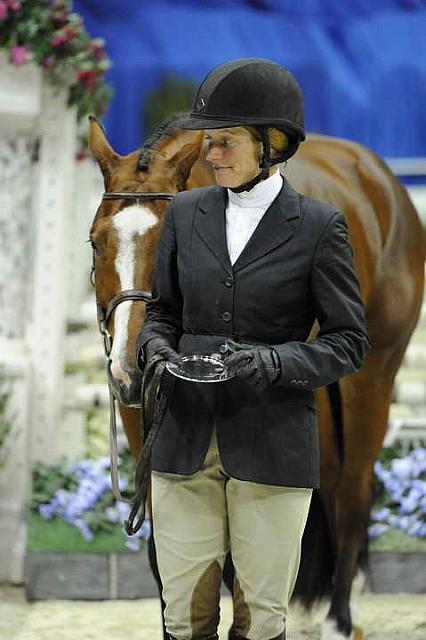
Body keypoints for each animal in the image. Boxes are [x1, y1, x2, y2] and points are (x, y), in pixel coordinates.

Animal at [88, 115, 424, 640]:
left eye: (167, 245)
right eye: (95, 241)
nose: (131, 372)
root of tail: (378, 176)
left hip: (369, 380)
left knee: (353, 486)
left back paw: (339, 619)